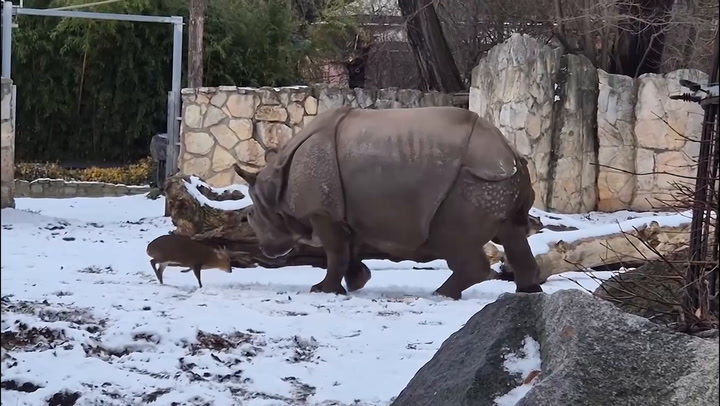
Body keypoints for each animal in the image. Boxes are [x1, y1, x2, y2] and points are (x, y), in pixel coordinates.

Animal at [234, 106, 542, 299]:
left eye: (250, 215)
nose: (267, 251)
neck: (274, 183)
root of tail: (510, 153)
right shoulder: (347, 212)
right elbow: (349, 249)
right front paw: (357, 282)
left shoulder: (323, 212)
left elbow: (335, 251)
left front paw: (322, 290)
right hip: (499, 181)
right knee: (512, 232)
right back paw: (528, 293)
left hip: (475, 181)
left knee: (452, 238)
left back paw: (440, 295)